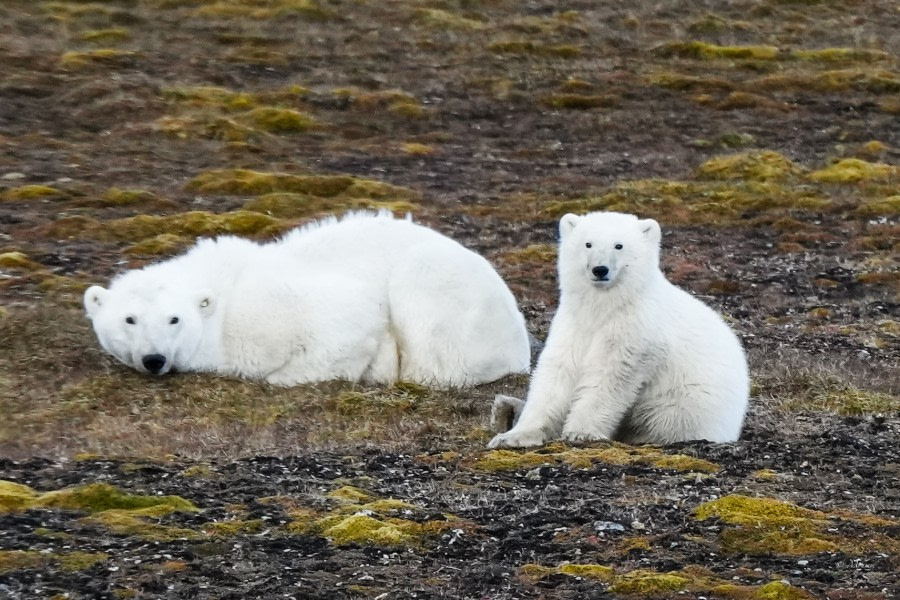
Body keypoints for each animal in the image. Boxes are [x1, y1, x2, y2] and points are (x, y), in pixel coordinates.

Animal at [84, 211, 532, 390]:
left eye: (174, 319)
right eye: (129, 319)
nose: (154, 359)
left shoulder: (268, 308)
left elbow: (348, 323)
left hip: (443, 294)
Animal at [488, 211, 748, 446]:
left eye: (619, 245)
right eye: (588, 243)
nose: (600, 269)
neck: (605, 308)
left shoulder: (634, 330)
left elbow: (609, 379)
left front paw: (581, 432)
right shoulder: (573, 325)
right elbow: (556, 374)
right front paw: (511, 437)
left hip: (686, 403)